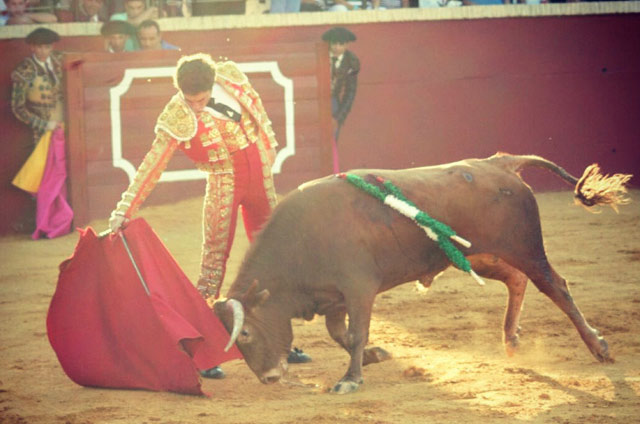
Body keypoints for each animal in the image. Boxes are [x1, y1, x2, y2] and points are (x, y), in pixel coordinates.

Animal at [214, 153, 632, 394]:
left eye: (245, 333)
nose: (269, 377)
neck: (302, 238)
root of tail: (498, 163)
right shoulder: (333, 298)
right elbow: (340, 334)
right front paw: (374, 356)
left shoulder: (359, 289)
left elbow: (356, 332)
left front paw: (350, 379)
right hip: (479, 254)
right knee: (517, 280)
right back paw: (511, 340)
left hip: (524, 247)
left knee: (555, 286)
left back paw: (599, 347)